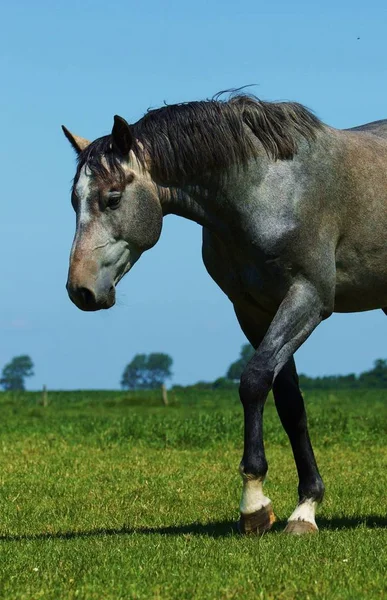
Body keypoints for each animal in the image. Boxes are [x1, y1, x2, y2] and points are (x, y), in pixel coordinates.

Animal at [62, 92, 387, 536]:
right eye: (74, 201)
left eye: (112, 197)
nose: (80, 290)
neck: (267, 188)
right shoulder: (252, 310)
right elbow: (289, 403)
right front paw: (304, 506)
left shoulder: (308, 298)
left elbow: (253, 381)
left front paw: (255, 505)